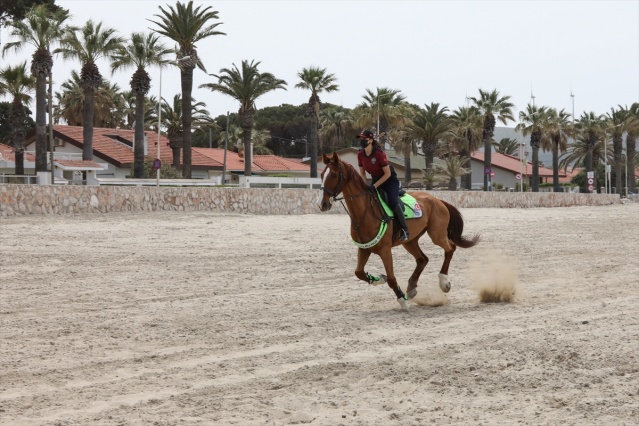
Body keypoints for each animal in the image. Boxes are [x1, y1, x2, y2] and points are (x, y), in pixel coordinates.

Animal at [320, 151, 480, 312]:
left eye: (333, 174)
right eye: (321, 174)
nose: (323, 204)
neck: (364, 213)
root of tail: (437, 200)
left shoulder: (385, 250)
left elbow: (391, 278)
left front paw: (402, 300)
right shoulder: (364, 249)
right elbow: (359, 272)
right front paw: (379, 279)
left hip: (437, 235)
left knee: (450, 248)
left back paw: (444, 282)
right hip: (410, 241)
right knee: (423, 259)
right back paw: (411, 287)